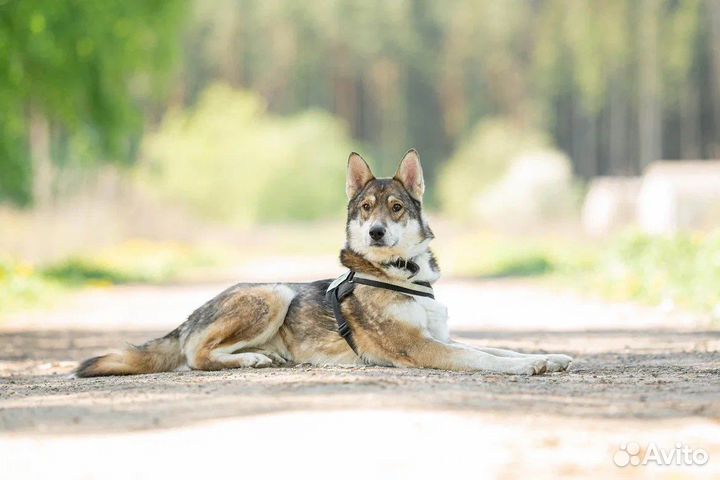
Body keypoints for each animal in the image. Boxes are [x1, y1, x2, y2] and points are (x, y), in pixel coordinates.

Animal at [76, 148, 572, 376]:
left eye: (396, 208)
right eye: (366, 209)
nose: (375, 233)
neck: (402, 275)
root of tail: (190, 315)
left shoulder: (440, 335)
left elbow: (498, 348)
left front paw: (551, 356)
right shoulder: (421, 348)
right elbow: (480, 357)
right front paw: (525, 368)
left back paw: (262, 357)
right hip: (273, 293)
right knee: (195, 355)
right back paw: (251, 360)